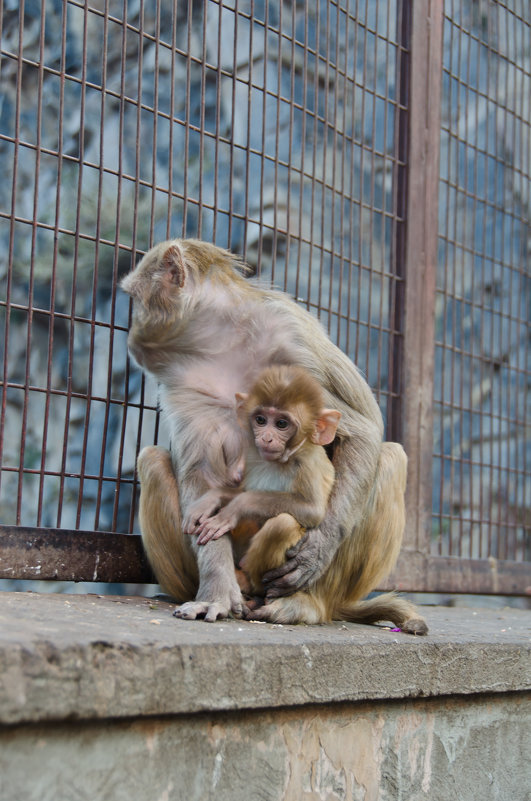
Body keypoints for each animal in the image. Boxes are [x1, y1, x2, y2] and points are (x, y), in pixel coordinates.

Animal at [120, 238, 428, 632]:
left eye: (136, 299)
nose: (131, 334)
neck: (222, 343)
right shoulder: (183, 379)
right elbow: (201, 478)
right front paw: (217, 592)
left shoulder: (293, 335)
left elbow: (363, 429)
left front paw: (317, 549)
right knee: (154, 461)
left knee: (390, 457)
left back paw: (306, 604)